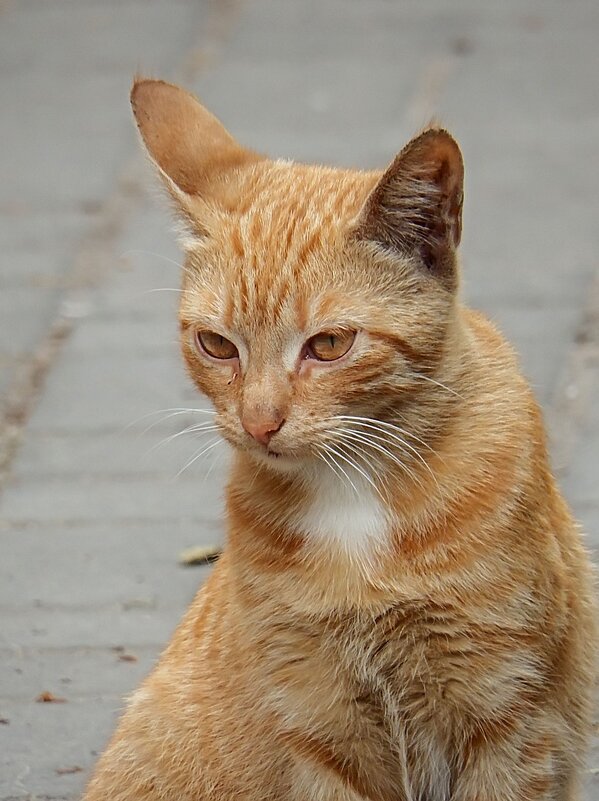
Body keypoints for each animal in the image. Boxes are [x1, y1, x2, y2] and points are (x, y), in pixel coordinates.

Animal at [82, 79, 596, 800]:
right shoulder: (317, 721)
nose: (259, 421)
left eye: (327, 345)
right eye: (217, 344)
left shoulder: (507, 711)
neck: (354, 494)